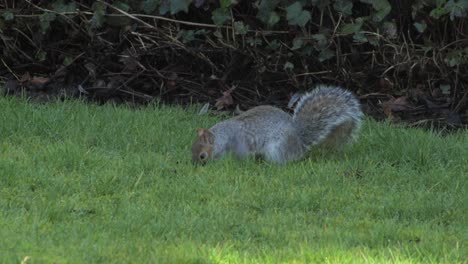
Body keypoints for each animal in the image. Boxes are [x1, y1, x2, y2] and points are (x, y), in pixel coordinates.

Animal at [192, 84, 364, 164]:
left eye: (202, 156)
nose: (196, 165)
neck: (223, 137)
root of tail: (298, 143)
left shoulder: (239, 144)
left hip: (277, 148)